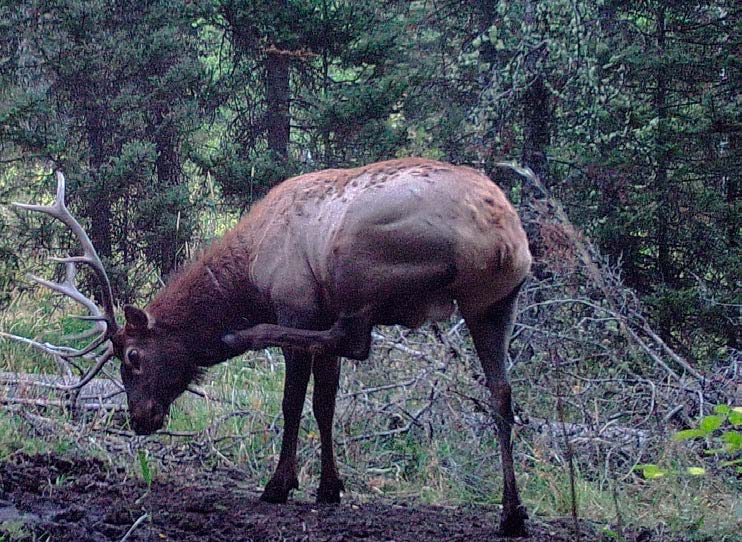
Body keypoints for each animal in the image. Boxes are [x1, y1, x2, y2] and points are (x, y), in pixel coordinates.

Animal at [13, 158, 536, 540]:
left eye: (133, 358)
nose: (140, 418)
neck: (248, 275)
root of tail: (503, 237)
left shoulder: (297, 305)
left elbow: (292, 403)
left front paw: (280, 484)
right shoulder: (315, 319)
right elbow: (325, 404)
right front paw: (329, 486)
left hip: (363, 265)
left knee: (356, 340)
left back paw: (244, 337)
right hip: (495, 302)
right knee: (502, 393)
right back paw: (512, 512)